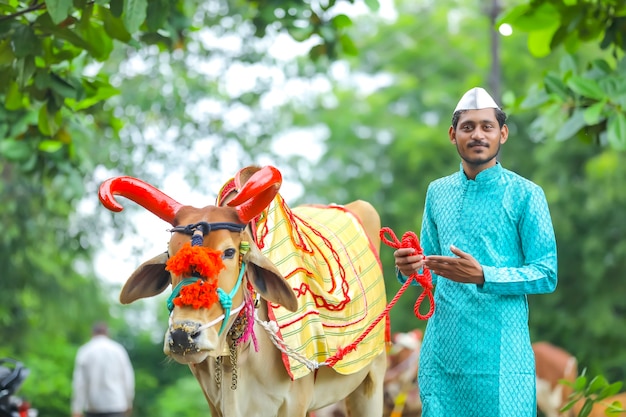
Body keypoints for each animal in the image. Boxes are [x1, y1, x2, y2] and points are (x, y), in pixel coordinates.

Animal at [98, 166, 388, 416]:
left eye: (229, 252)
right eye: (170, 254)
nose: (183, 336)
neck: (236, 358)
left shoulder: (295, 403)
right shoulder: (216, 404)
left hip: (372, 378)